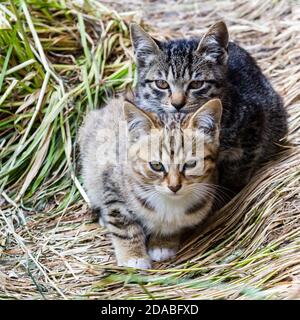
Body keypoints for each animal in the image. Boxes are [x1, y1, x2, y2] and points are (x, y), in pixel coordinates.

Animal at [78, 97, 221, 268]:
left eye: (191, 164)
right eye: (156, 165)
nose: (174, 186)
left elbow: (172, 227)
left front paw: (162, 243)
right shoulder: (112, 185)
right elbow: (124, 226)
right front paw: (134, 256)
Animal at [130, 21, 288, 195]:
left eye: (196, 84)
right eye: (162, 84)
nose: (177, 104)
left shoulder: (255, 122)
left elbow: (239, 169)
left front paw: (230, 192)